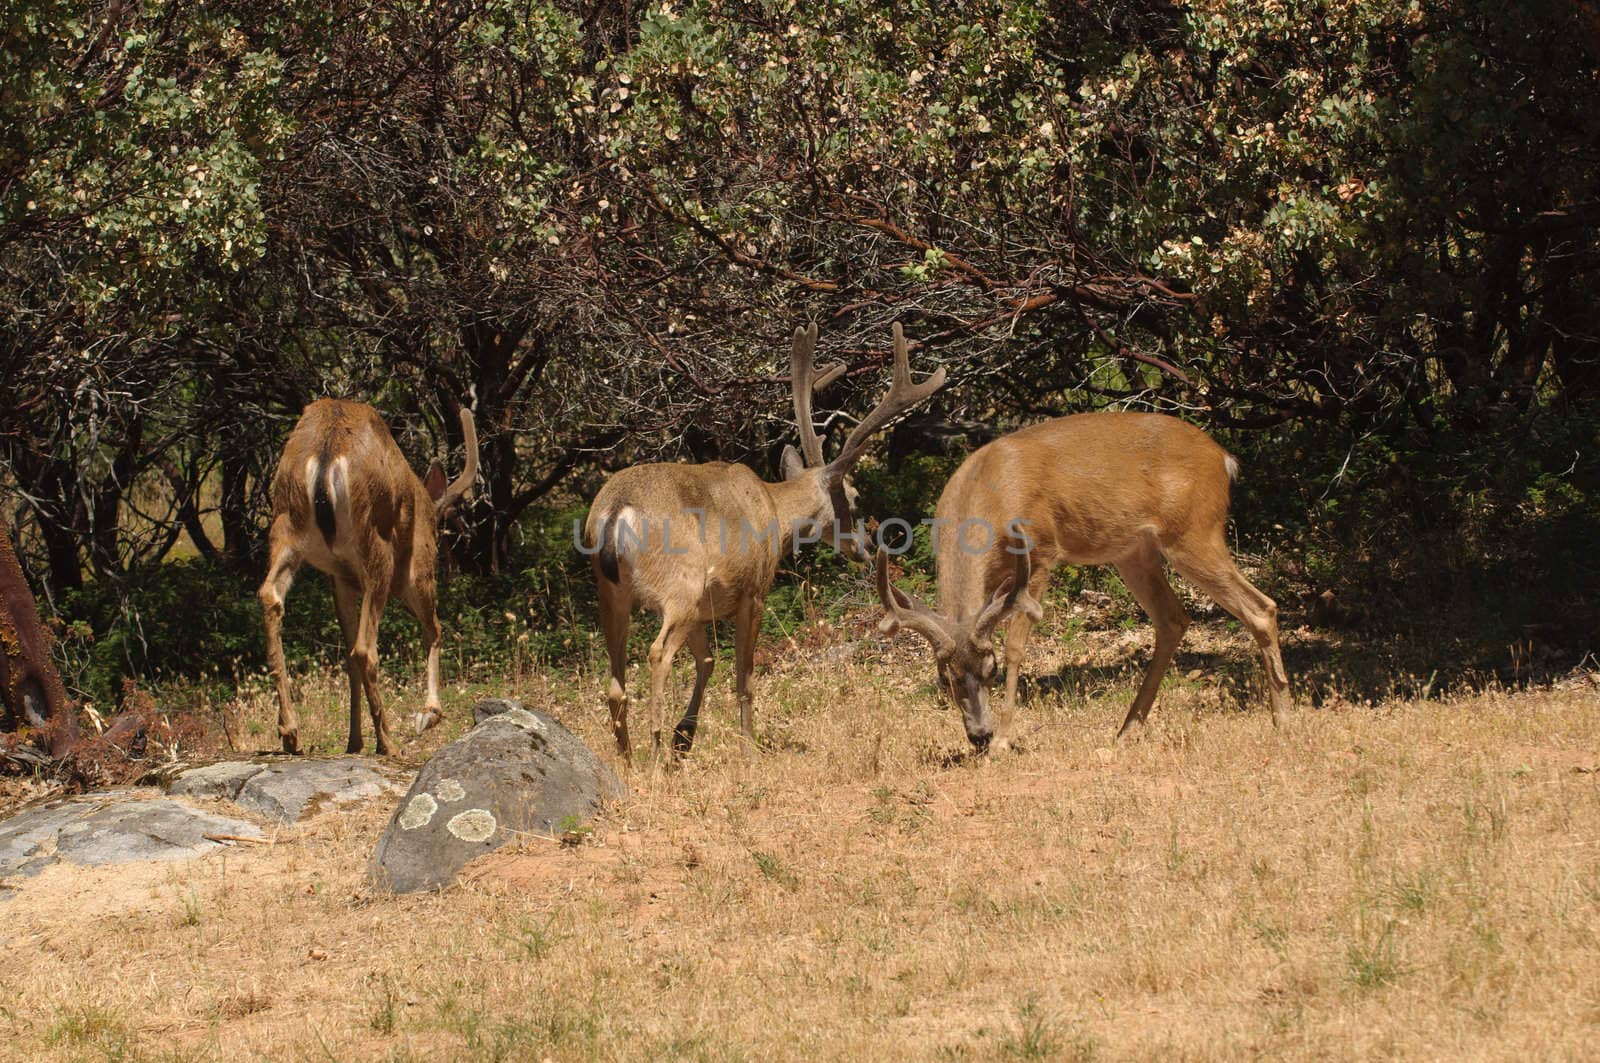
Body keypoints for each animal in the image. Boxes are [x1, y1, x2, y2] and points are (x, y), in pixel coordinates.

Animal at [257, 398, 473, 755]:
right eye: (440, 535)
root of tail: (327, 454)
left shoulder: (341, 579)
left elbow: (346, 658)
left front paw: (354, 741)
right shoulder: (417, 567)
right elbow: (435, 630)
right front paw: (428, 714)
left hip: (286, 526)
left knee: (270, 596)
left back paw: (290, 733)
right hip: (377, 548)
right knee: (365, 649)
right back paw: (388, 742)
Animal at [585, 320, 934, 768]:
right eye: (855, 498)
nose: (865, 547)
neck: (774, 509)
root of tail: (615, 511)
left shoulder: (705, 608)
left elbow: (708, 661)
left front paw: (686, 737)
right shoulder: (753, 590)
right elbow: (744, 676)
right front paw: (746, 747)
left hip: (611, 592)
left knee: (614, 681)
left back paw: (627, 758)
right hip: (679, 586)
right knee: (657, 653)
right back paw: (655, 757)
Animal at [870, 409, 1292, 752]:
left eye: (991, 670)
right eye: (945, 679)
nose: (979, 736)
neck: (986, 492)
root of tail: (1224, 459)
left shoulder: (1040, 552)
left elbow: (1017, 646)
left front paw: (1004, 741)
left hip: (1193, 532)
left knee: (1261, 607)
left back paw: (1283, 720)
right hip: (1133, 551)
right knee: (1173, 618)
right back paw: (1127, 730)